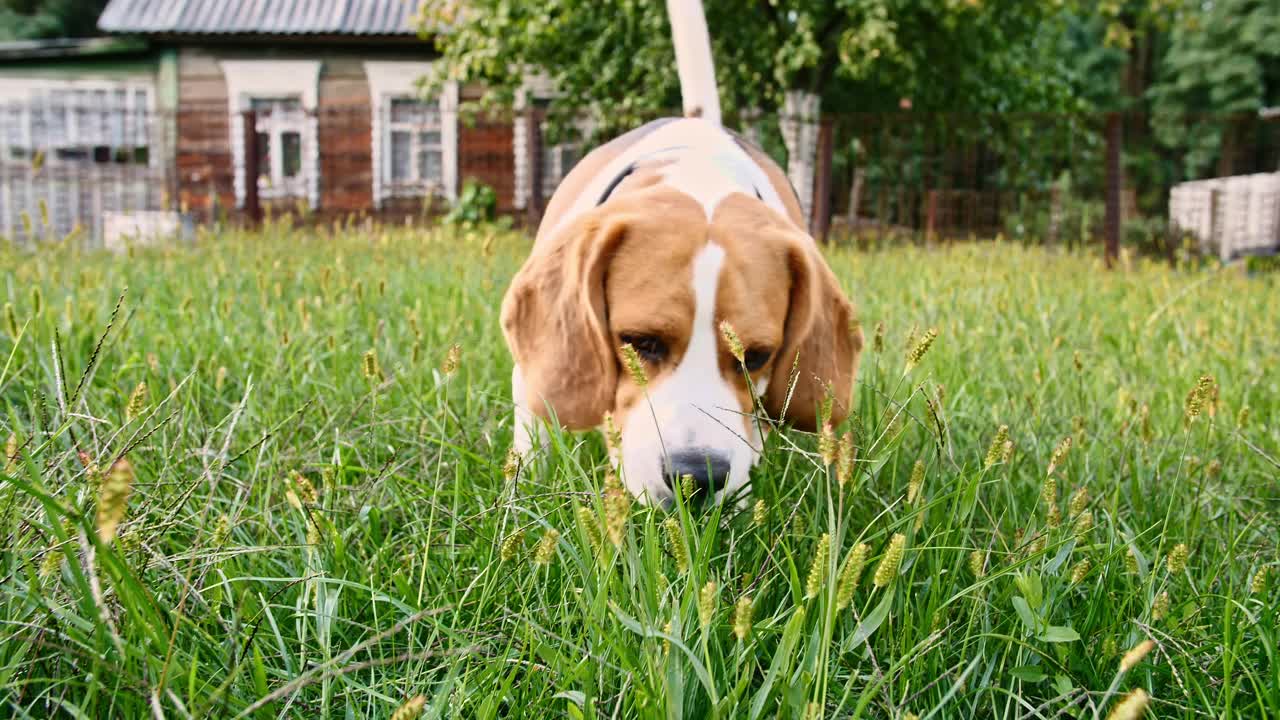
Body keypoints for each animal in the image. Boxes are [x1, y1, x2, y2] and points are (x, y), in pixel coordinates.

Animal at [499, 0, 860, 504]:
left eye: (757, 357)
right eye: (640, 342)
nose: (697, 478)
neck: (697, 173)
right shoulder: (530, 377)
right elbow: (533, 437)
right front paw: (520, 498)